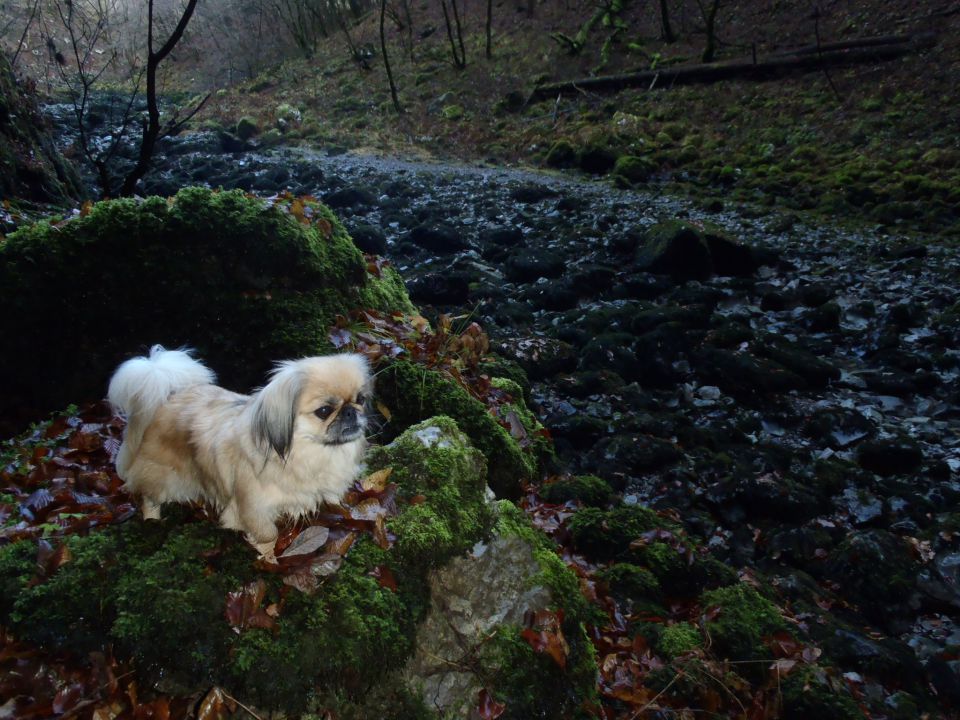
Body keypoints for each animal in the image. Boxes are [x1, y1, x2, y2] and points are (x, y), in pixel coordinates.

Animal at [109, 346, 372, 560]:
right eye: (324, 410)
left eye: (361, 399)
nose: (351, 411)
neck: (309, 453)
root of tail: (168, 394)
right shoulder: (254, 509)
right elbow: (268, 536)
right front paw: (269, 561)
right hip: (162, 476)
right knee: (149, 498)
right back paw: (152, 521)